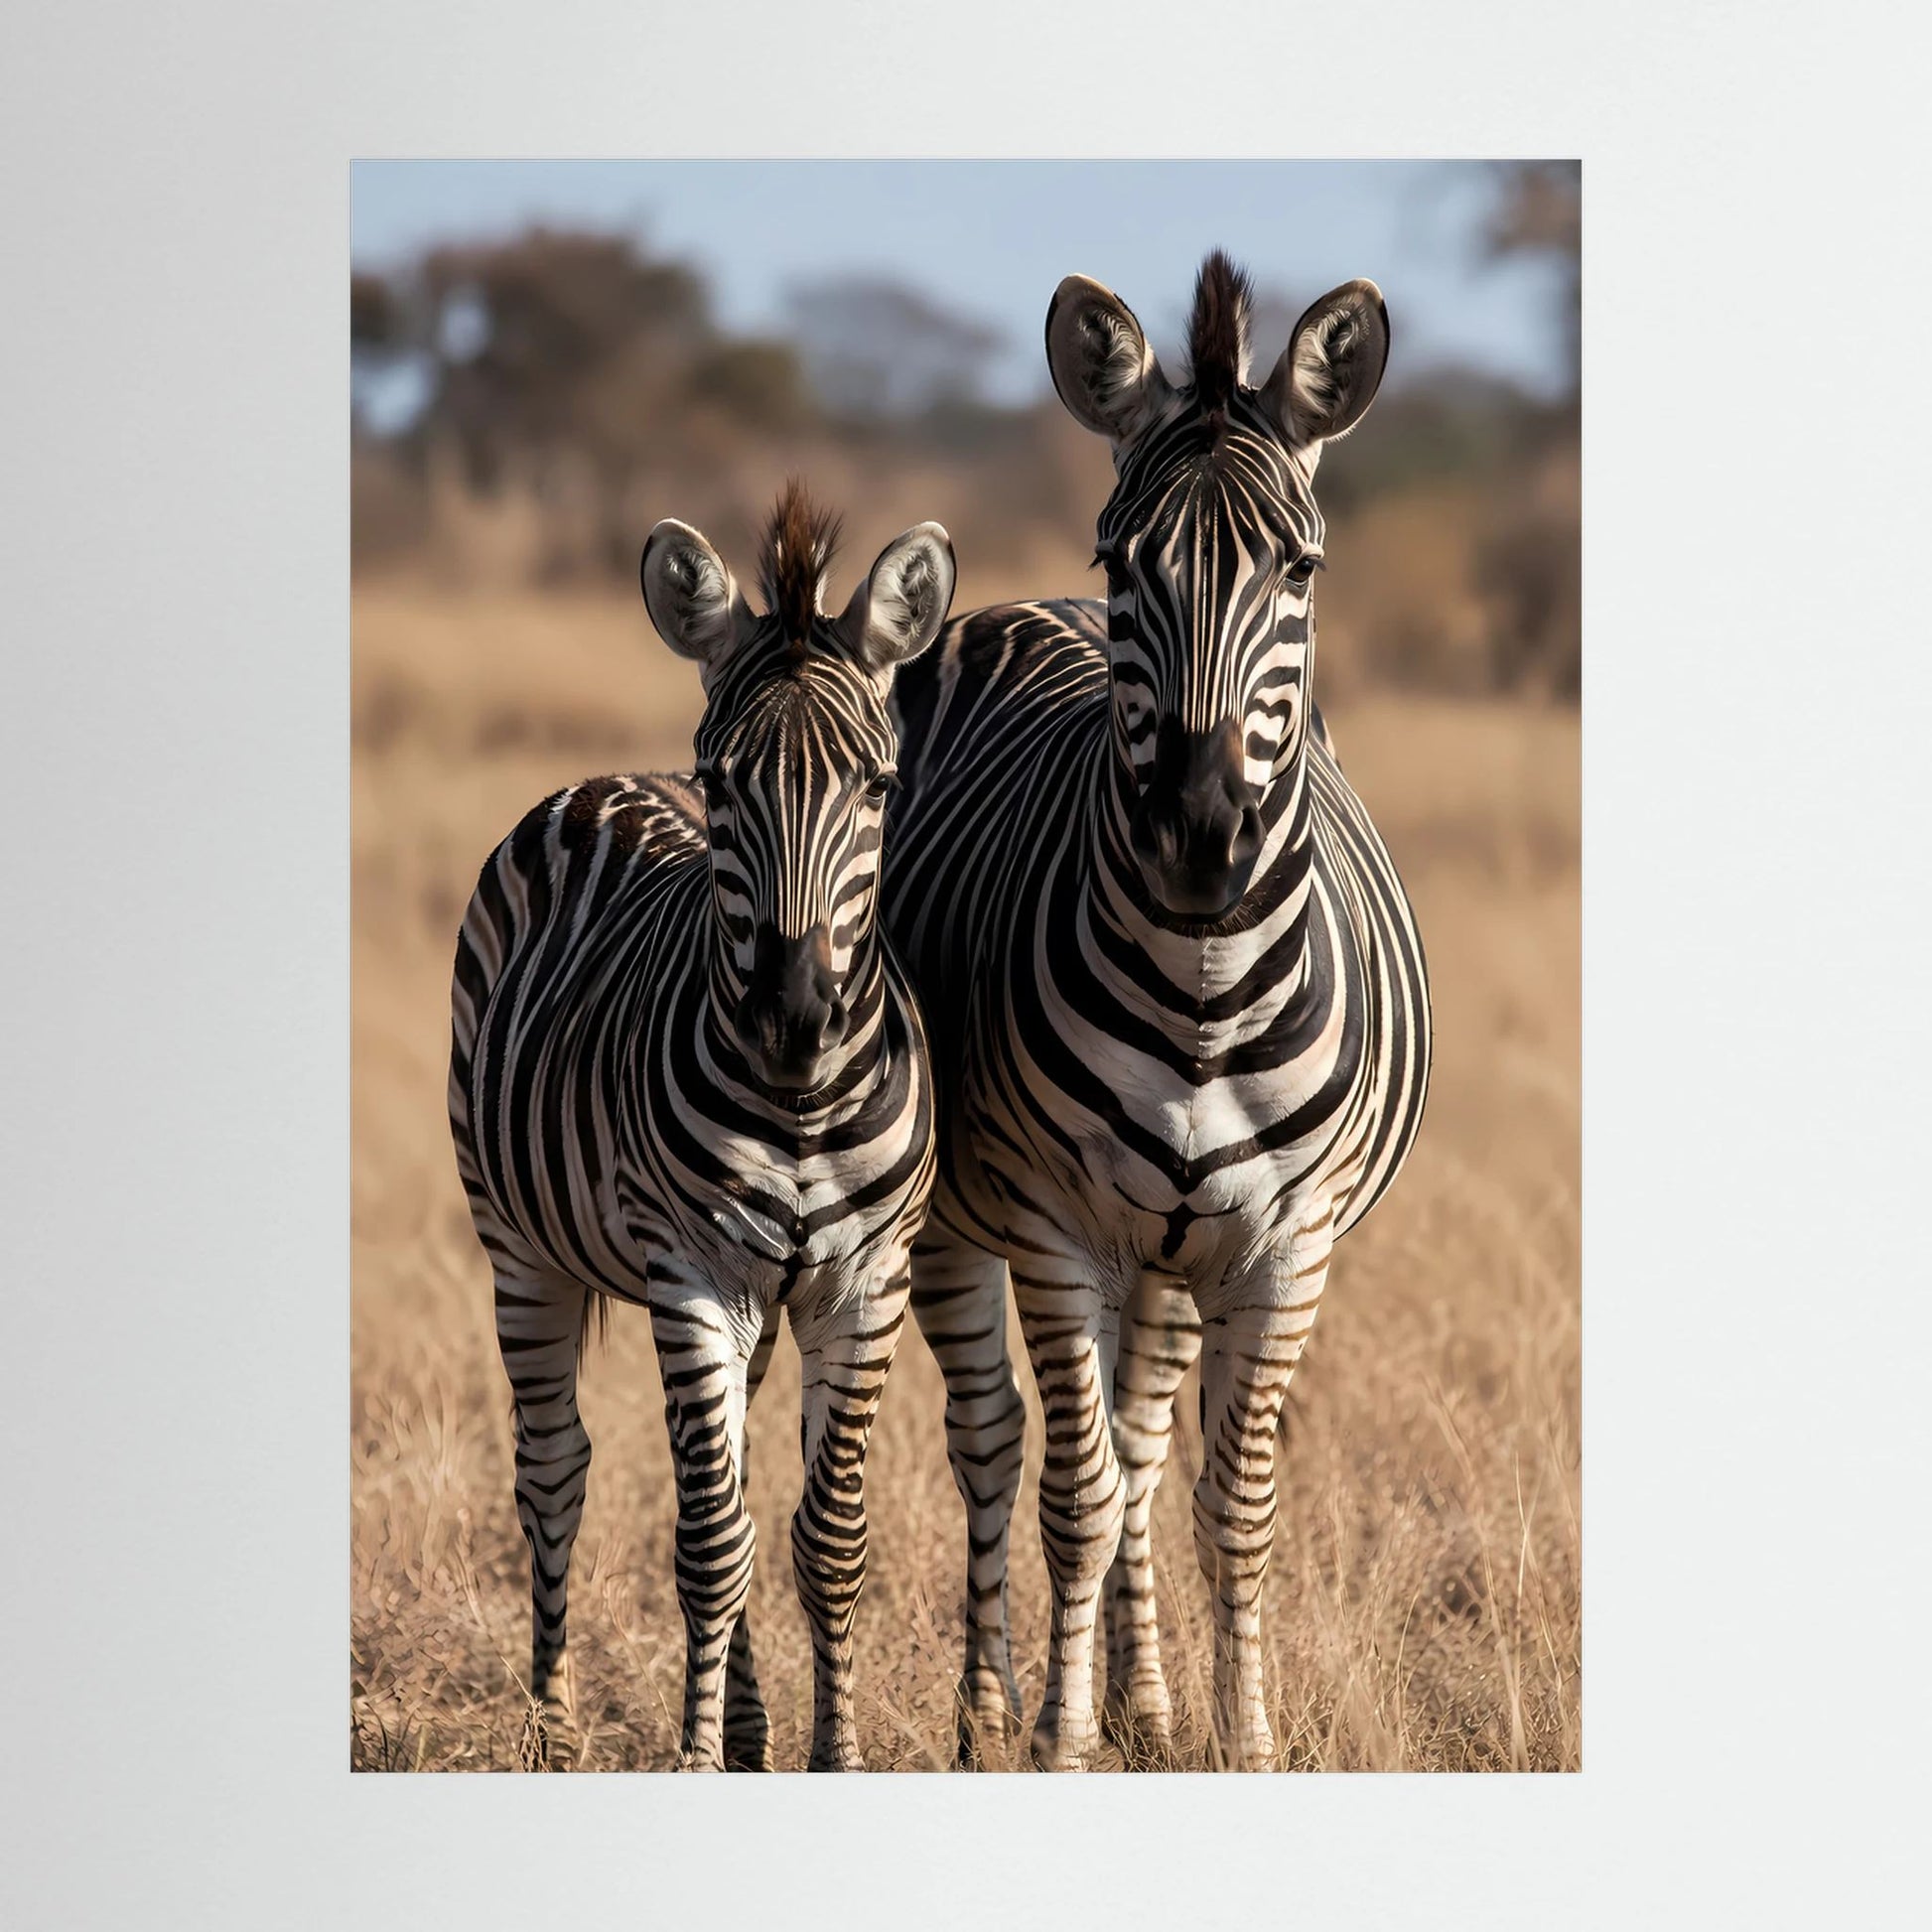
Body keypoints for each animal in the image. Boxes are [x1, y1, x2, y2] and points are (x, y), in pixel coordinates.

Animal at [448, 484, 953, 1771]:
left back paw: (749, 1723)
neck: (801, 1101)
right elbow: (710, 1542)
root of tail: (601, 781)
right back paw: (554, 1726)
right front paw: (685, 1753)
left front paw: (830, 1751)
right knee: (555, 1471)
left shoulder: (864, 1280)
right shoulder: (690, 1274)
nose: (792, 1010)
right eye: (723, 782)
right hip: (516, 1244)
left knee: (724, 1472)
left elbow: (823, 1537)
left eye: (878, 786)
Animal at [883, 252, 1431, 1770]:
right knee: (996, 1444)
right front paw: (1057, 1740)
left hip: (1175, 1254)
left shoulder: (1285, 1248)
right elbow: (1068, 1494)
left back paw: (1148, 1701)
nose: (1196, 832)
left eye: (1299, 567)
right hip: (964, 1221)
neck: (1201, 982)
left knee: (1136, 1451)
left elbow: (1224, 1508)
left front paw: (1238, 1740)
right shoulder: (1051, 1224)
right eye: (1121, 560)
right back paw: (992, 1709)